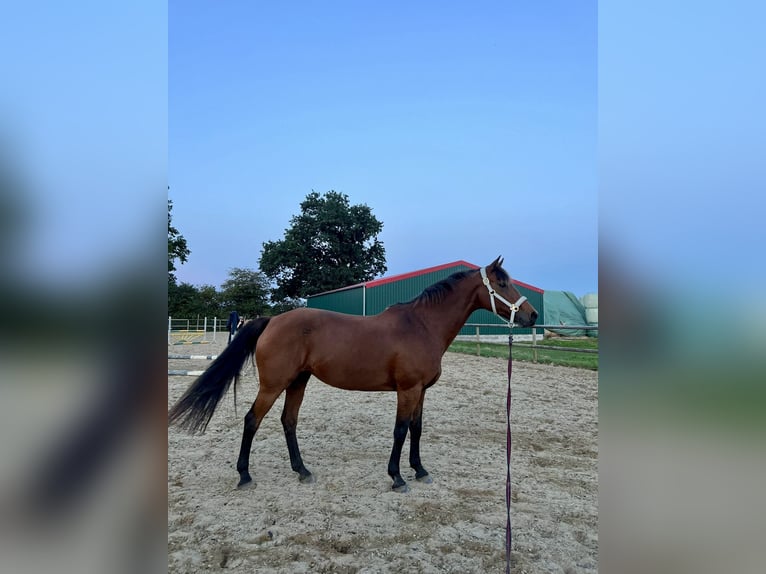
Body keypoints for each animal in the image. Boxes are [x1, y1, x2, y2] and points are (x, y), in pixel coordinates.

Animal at [168, 258, 540, 492]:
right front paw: (397, 478)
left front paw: (420, 471)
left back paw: (302, 471)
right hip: (273, 385)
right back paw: (245, 476)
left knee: (289, 421)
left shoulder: (421, 391)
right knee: (251, 421)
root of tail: (272, 320)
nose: (532, 315)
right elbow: (400, 430)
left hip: (298, 382)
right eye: (501, 282)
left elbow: (417, 430)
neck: (421, 326)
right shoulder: (407, 390)